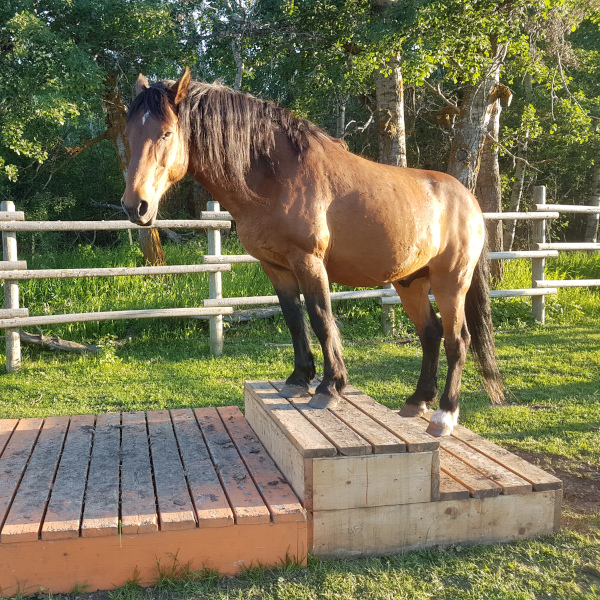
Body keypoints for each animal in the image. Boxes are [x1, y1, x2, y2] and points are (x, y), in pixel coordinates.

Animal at [120, 68, 502, 436]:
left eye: (167, 133)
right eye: (128, 136)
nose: (135, 206)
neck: (274, 177)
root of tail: (468, 199)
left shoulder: (309, 262)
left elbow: (320, 318)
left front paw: (330, 387)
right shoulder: (275, 267)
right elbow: (294, 319)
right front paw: (298, 379)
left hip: (451, 282)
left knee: (458, 340)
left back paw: (444, 415)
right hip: (410, 282)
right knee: (431, 334)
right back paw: (417, 401)